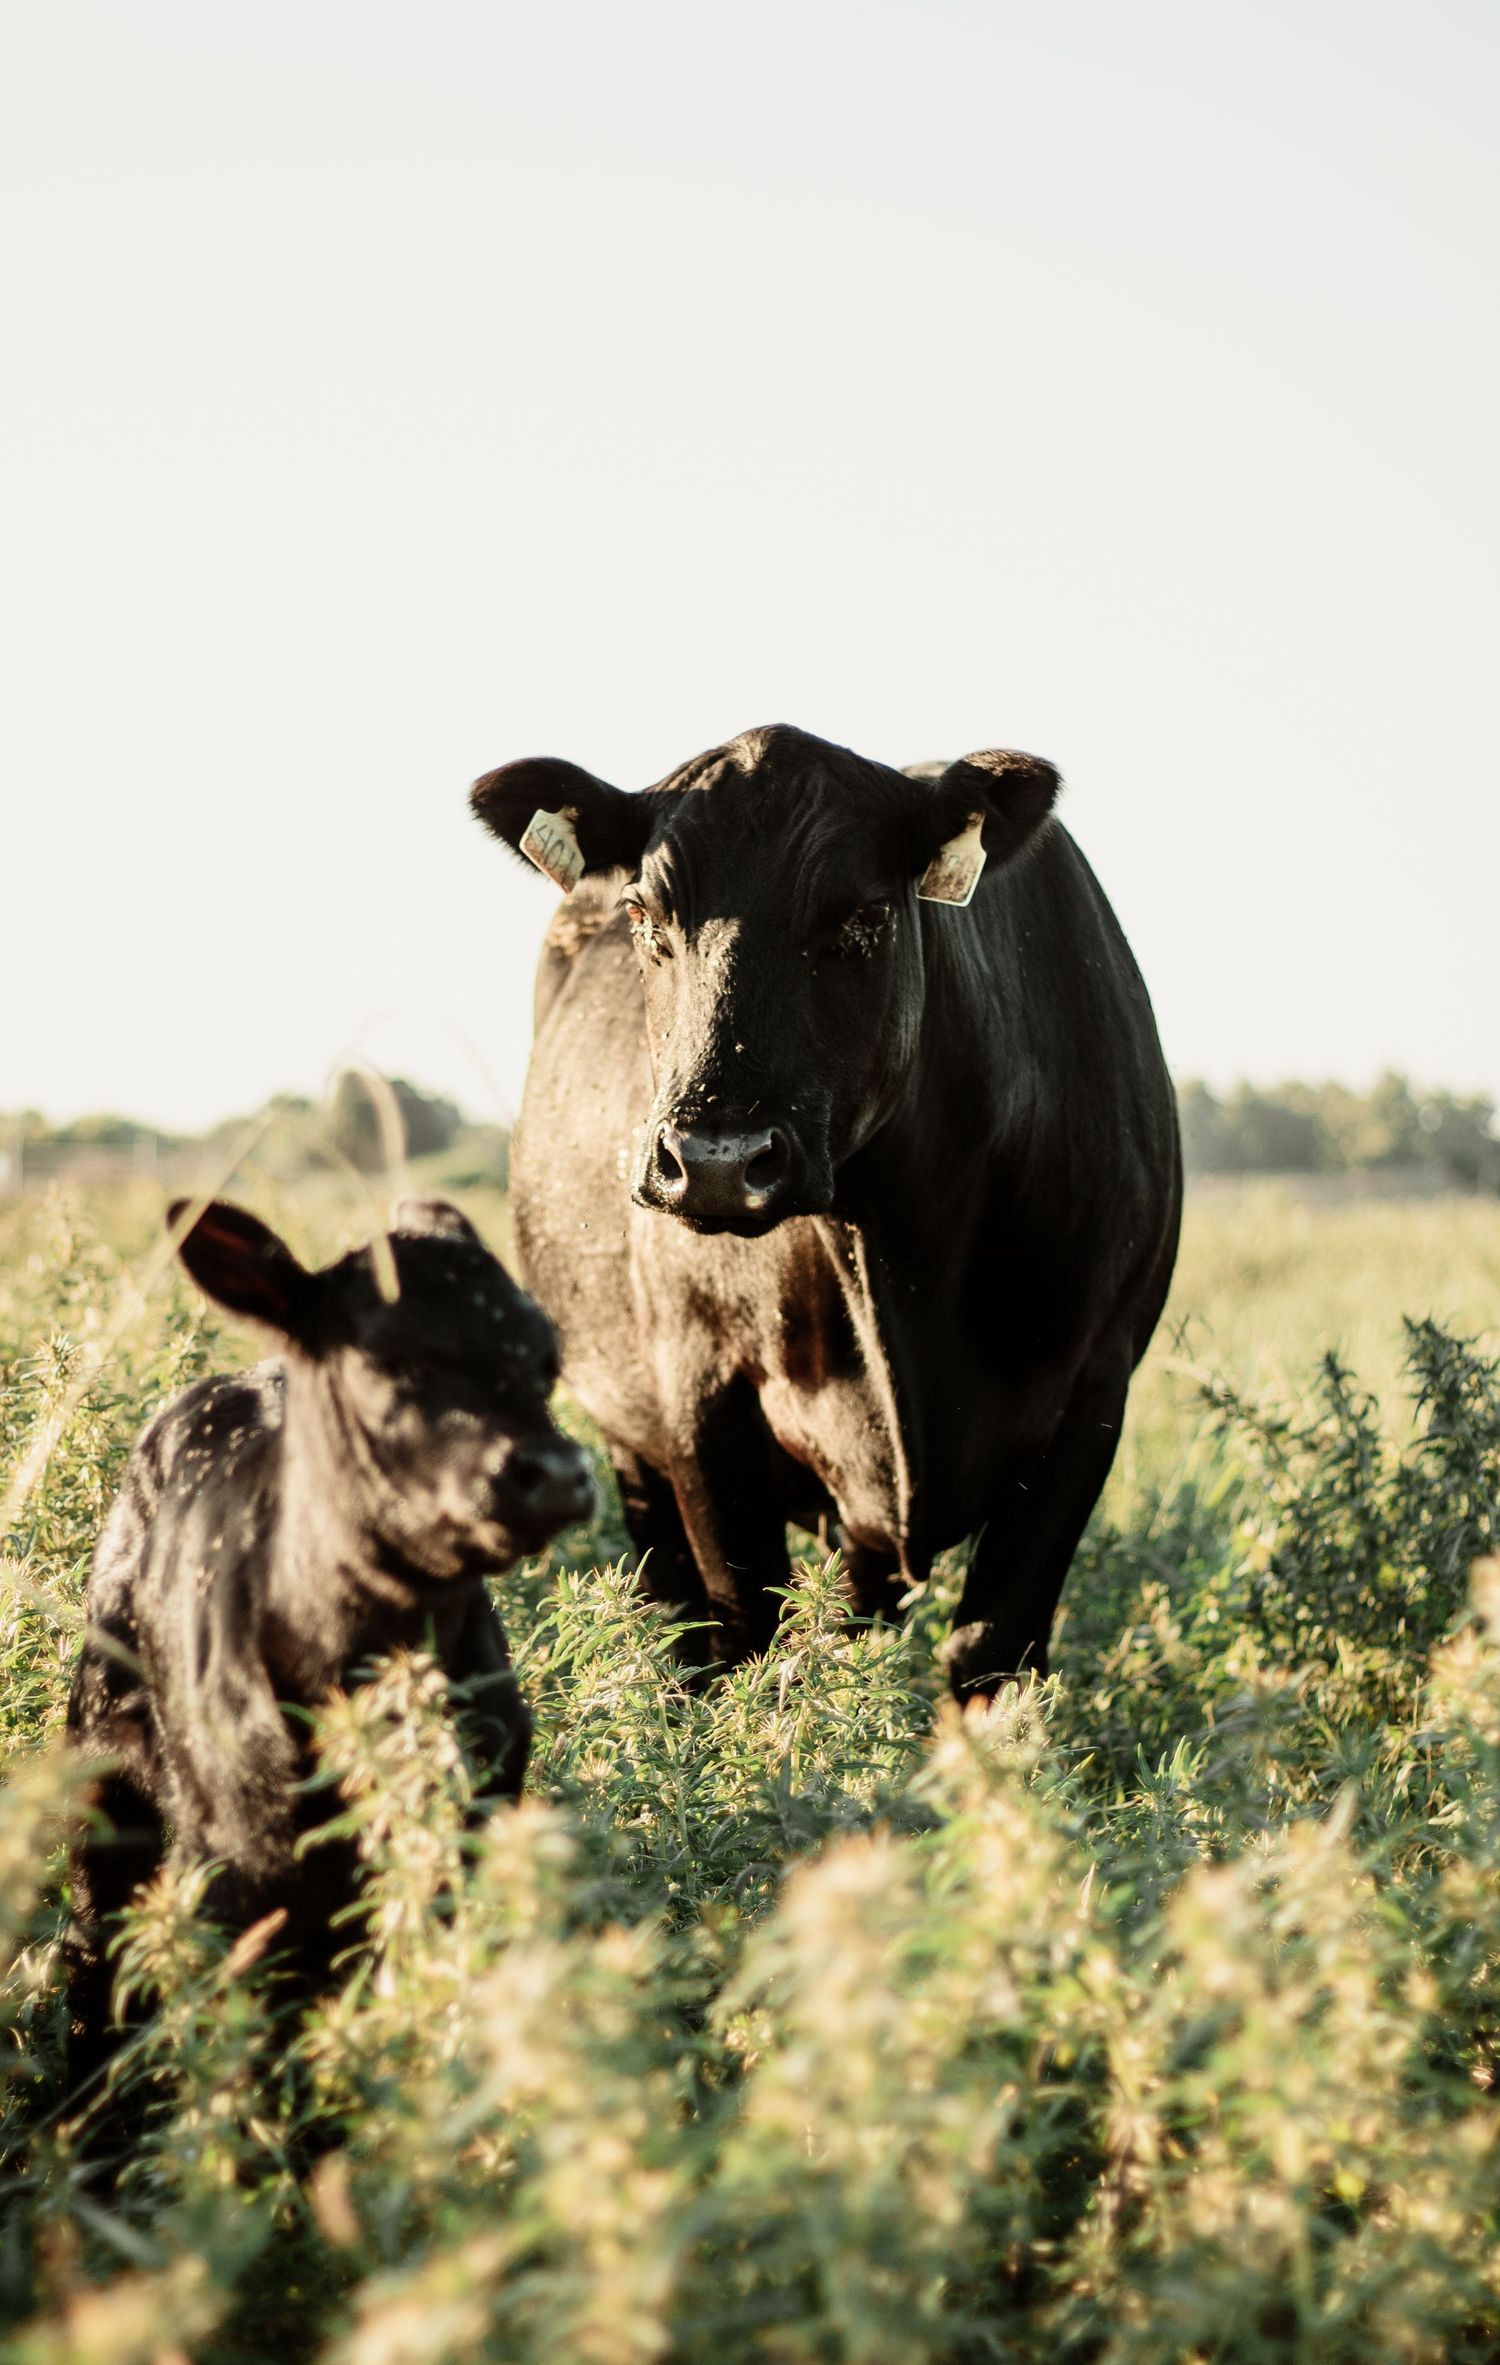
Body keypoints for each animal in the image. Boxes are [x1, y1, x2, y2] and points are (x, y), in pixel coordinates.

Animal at [471, 722, 1180, 1701]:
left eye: (864, 916)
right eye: (646, 916)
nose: (716, 1161)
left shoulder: (1094, 1389)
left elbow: (991, 1651)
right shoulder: (699, 1393)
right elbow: (743, 1630)